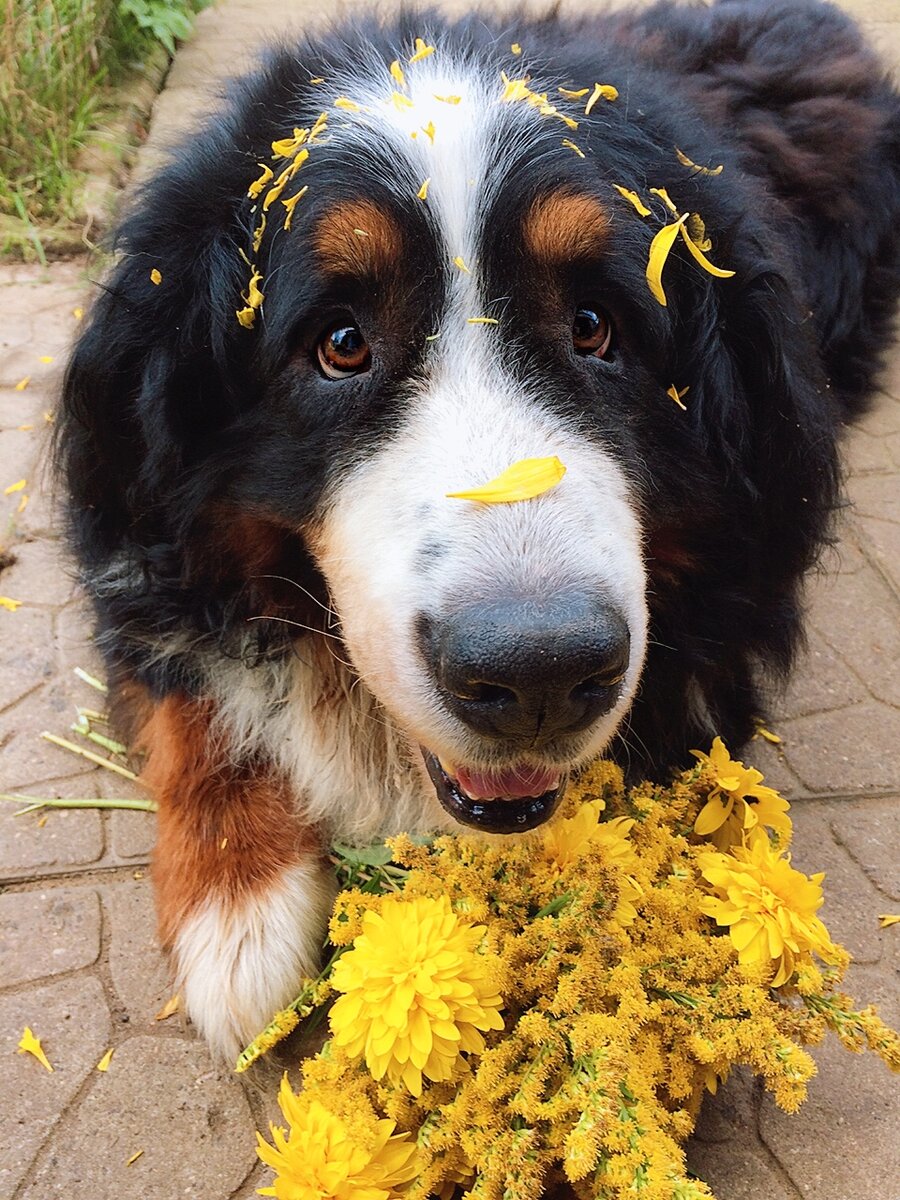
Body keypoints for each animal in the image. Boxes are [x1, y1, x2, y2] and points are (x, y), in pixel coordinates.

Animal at [56, 0, 900, 1051]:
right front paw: (238, 909)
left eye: (595, 326)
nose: (537, 673)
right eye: (340, 343)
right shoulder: (131, 533)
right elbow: (187, 688)